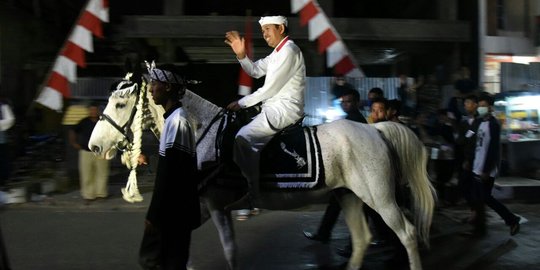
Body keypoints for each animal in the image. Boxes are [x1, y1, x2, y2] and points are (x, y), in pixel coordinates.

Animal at [87, 75, 434, 270]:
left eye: (120, 104)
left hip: (380, 198)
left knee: (407, 233)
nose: (94, 145)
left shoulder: (216, 205)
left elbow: (229, 250)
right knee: (362, 239)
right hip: (348, 196)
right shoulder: (201, 204)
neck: (201, 133)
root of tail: (376, 129)